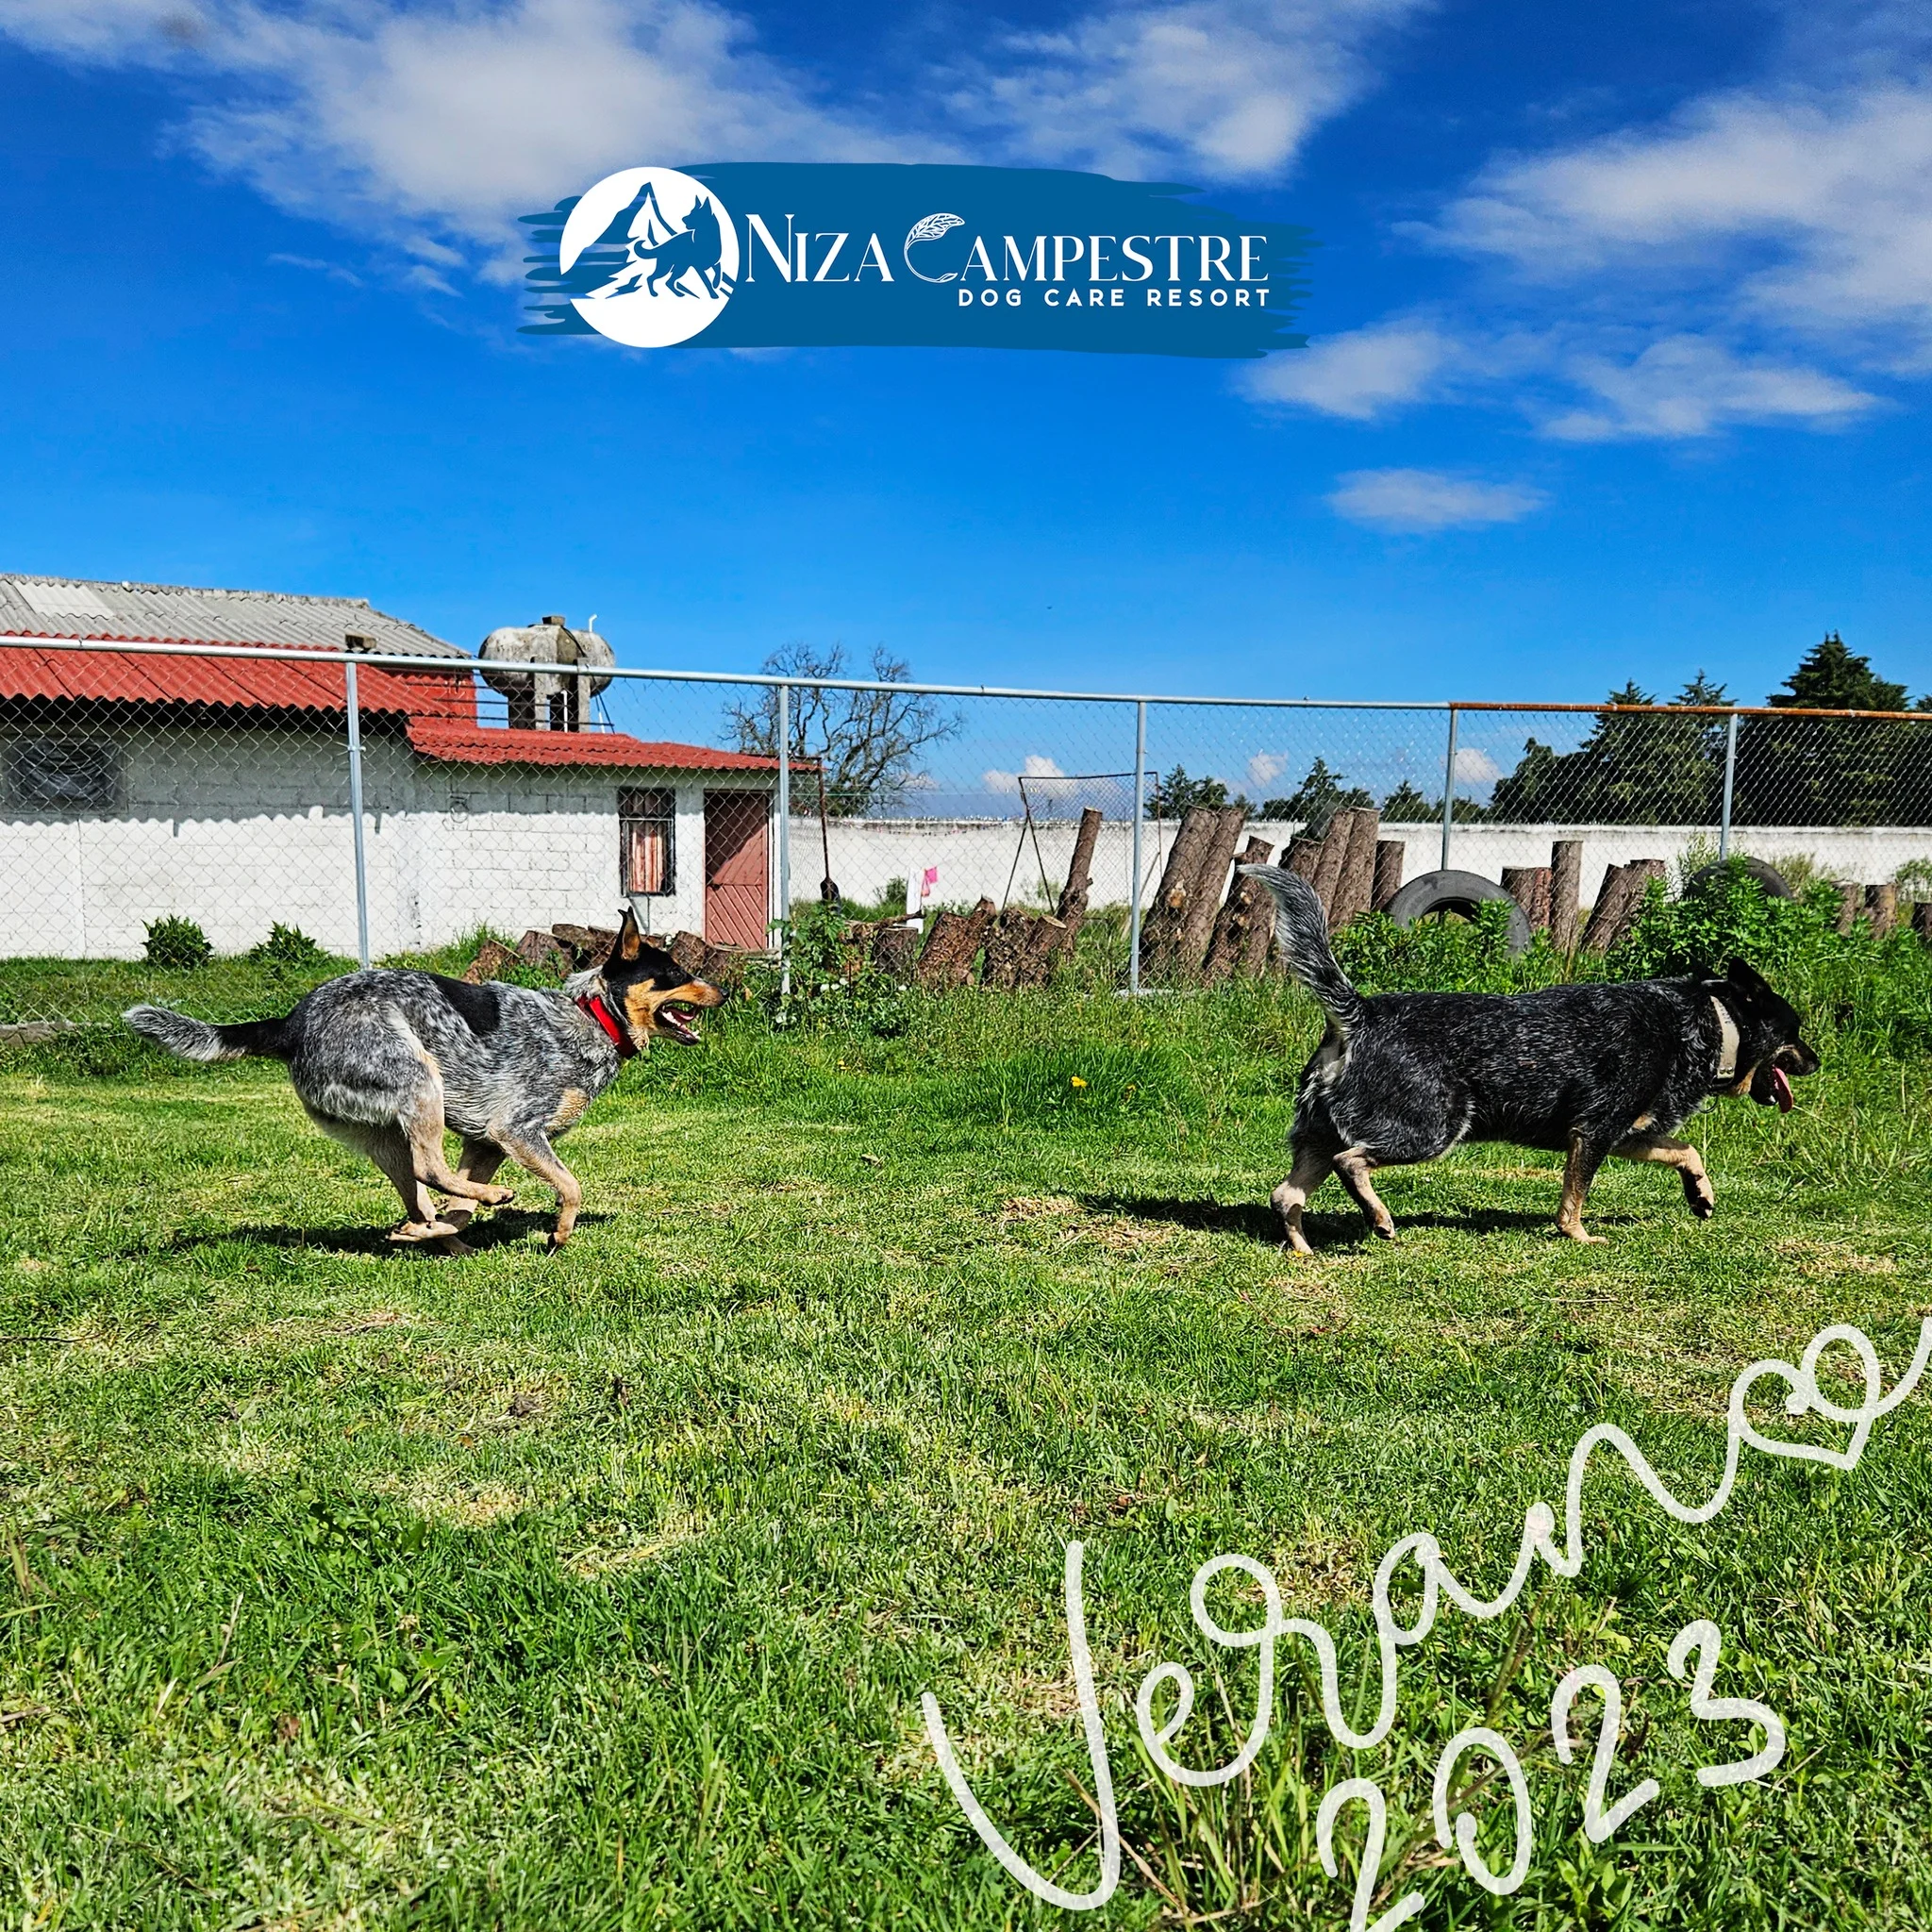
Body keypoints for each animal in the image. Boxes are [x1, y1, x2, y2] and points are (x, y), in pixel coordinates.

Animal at [123, 904, 726, 1252]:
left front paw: (456, 1223)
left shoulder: (488, 1144)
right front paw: (558, 1231)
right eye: (677, 973)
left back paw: (424, 1226)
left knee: (419, 1186)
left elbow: (462, 1205)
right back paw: (483, 1202)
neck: (592, 1016)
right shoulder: (516, 1131)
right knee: (428, 1168)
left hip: (382, 1128)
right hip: (419, 1082)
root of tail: (291, 1021)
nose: (723, 991)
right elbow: (571, 1185)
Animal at [1243, 865, 1816, 1252]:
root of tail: (1359, 1012)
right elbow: (1573, 1201)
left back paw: (1303, 1251)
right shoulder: (1594, 1134)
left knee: (1284, 1195)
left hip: (1320, 1135)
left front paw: (1700, 1195)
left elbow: (1686, 1150)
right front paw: (1579, 1236)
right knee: (1350, 1162)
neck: (1708, 1023)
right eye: (1797, 1031)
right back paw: (1379, 1217)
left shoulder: (1628, 1134)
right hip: (1431, 1131)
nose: (1818, 1063)